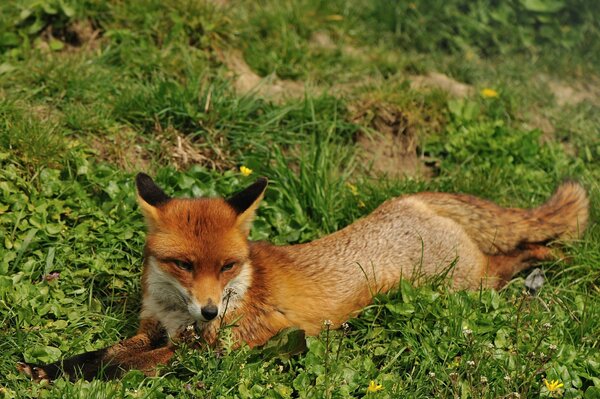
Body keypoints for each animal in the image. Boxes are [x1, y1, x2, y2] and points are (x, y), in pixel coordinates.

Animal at [17, 175, 584, 382]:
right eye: (184, 265)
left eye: (227, 265)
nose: (209, 310)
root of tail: (409, 200)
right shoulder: (152, 331)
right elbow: (103, 355)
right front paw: (47, 368)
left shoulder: (213, 352)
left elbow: (121, 368)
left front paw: (66, 377)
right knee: (515, 254)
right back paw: (546, 260)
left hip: (463, 286)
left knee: (510, 260)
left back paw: (552, 263)